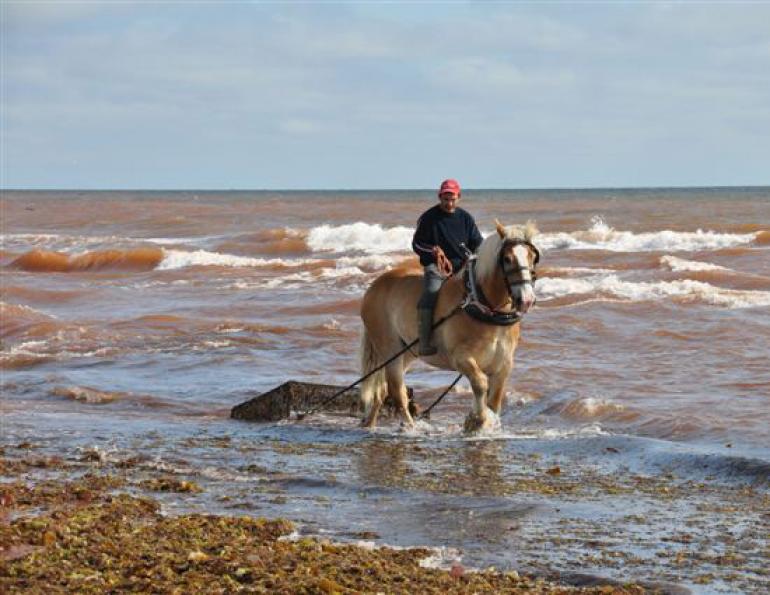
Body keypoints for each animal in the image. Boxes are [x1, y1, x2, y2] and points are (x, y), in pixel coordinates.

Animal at [358, 219, 540, 432]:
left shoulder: (503, 365)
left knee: (382, 390)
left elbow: (494, 399)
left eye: (533, 257)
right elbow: (480, 384)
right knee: (396, 391)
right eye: (507, 258)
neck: (483, 308)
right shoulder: (461, 358)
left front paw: (484, 422)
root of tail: (374, 286)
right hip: (390, 349)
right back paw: (411, 427)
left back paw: (370, 424)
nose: (527, 299)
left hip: (407, 352)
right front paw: (477, 419)